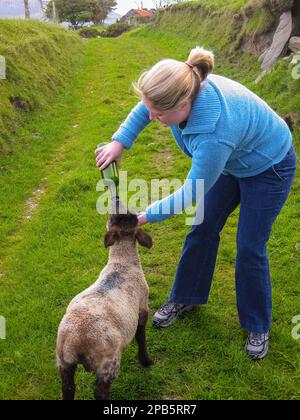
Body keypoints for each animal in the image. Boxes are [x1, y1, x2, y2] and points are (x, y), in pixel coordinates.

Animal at [56, 200, 154, 400]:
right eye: (130, 215)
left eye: (112, 216)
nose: (116, 198)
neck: (122, 262)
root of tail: (74, 340)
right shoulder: (143, 308)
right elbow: (141, 337)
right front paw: (146, 361)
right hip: (108, 363)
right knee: (100, 392)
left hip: (63, 363)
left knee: (68, 388)